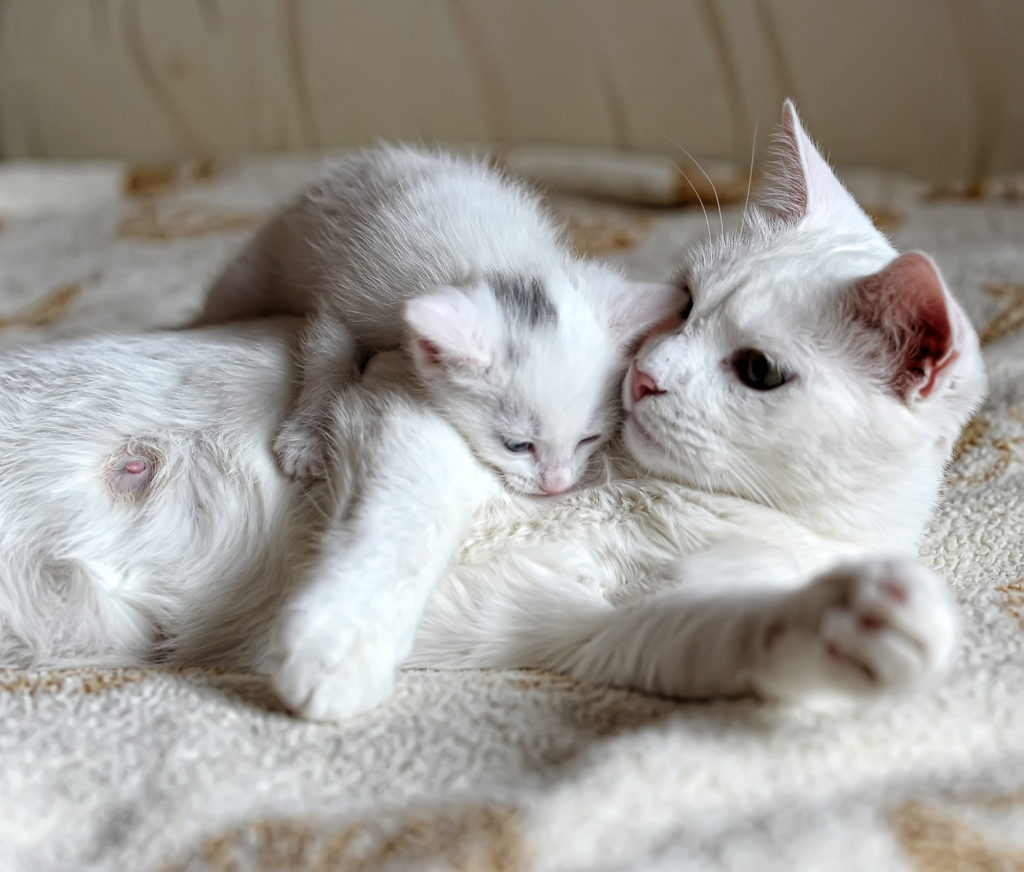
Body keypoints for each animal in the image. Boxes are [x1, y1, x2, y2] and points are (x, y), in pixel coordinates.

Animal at [0, 100, 987, 720]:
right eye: (688, 299)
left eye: (758, 371)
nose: (648, 375)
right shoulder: (402, 409)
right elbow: (403, 531)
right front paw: (335, 649)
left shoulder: (618, 636)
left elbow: (747, 631)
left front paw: (872, 620)